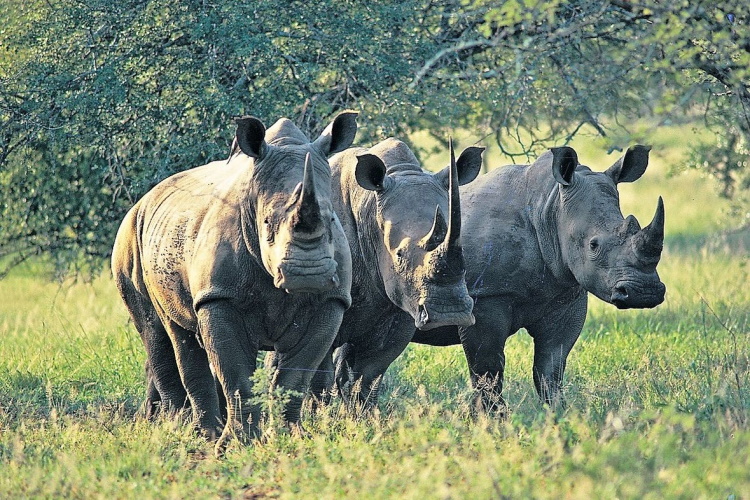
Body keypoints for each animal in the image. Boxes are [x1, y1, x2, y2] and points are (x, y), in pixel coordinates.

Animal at [110, 110, 360, 454]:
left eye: (332, 218)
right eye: (266, 221)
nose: (307, 273)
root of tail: (146, 198)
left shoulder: (330, 300)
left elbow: (296, 376)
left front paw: (292, 438)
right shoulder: (219, 296)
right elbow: (236, 375)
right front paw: (234, 446)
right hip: (130, 236)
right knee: (162, 332)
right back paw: (191, 432)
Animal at [312, 137, 488, 406]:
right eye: (399, 255)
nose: (450, 313)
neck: (369, 207)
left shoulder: (403, 306)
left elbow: (368, 378)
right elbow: (315, 379)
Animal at [344, 146, 668, 412]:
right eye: (593, 245)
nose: (645, 293)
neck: (549, 208)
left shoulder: (566, 291)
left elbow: (551, 368)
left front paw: (559, 417)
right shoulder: (486, 296)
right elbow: (488, 370)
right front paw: (494, 422)